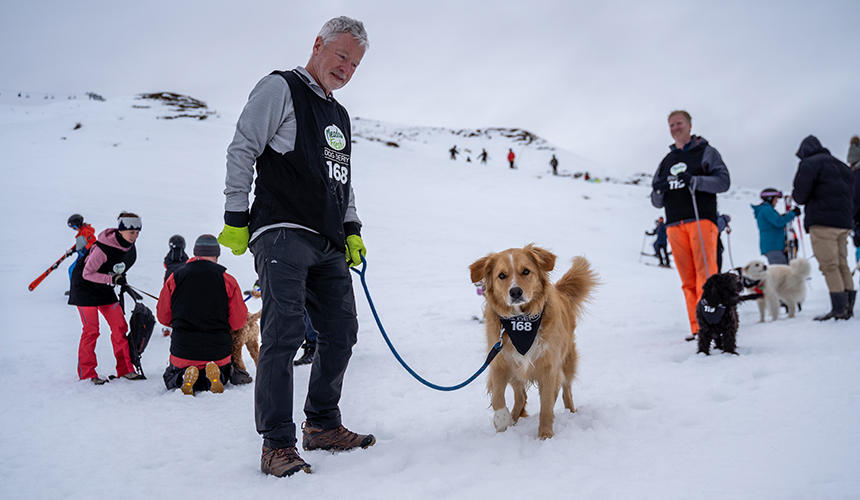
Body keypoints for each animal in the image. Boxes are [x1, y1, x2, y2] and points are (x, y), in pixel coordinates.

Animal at [470, 244, 596, 440]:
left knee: (566, 389)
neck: (521, 322)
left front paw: (545, 435)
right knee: (521, 396)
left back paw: (571, 412)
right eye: (501, 276)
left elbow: (546, 405)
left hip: (567, 360)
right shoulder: (499, 362)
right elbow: (498, 398)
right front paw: (502, 423)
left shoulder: (549, 367)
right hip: (515, 371)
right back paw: (514, 419)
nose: (515, 292)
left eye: (526, 271)